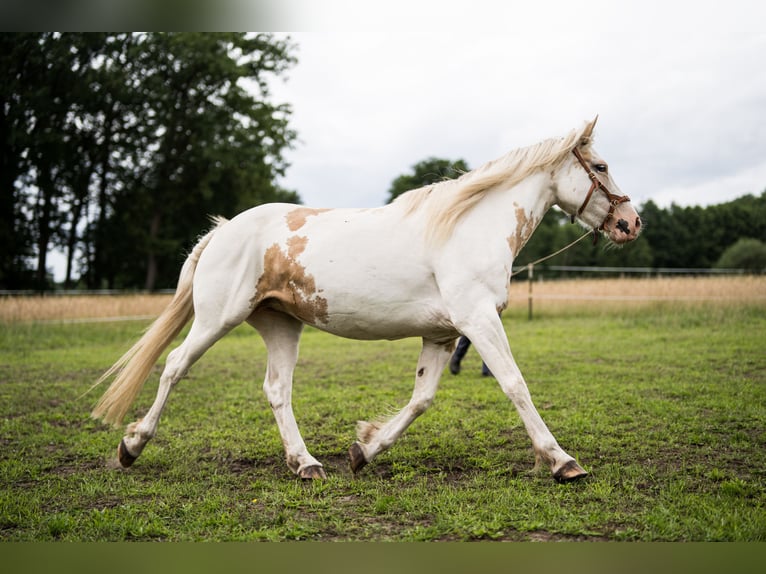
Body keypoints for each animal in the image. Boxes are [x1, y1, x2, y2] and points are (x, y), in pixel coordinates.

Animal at [91, 117, 641, 482]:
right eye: (600, 164)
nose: (630, 223)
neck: (466, 228)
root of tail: (224, 229)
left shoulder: (442, 334)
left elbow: (421, 400)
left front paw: (365, 449)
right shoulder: (478, 320)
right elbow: (515, 385)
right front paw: (563, 461)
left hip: (280, 325)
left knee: (277, 390)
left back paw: (307, 464)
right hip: (217, 319)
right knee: (174, 365)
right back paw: (131, 447)